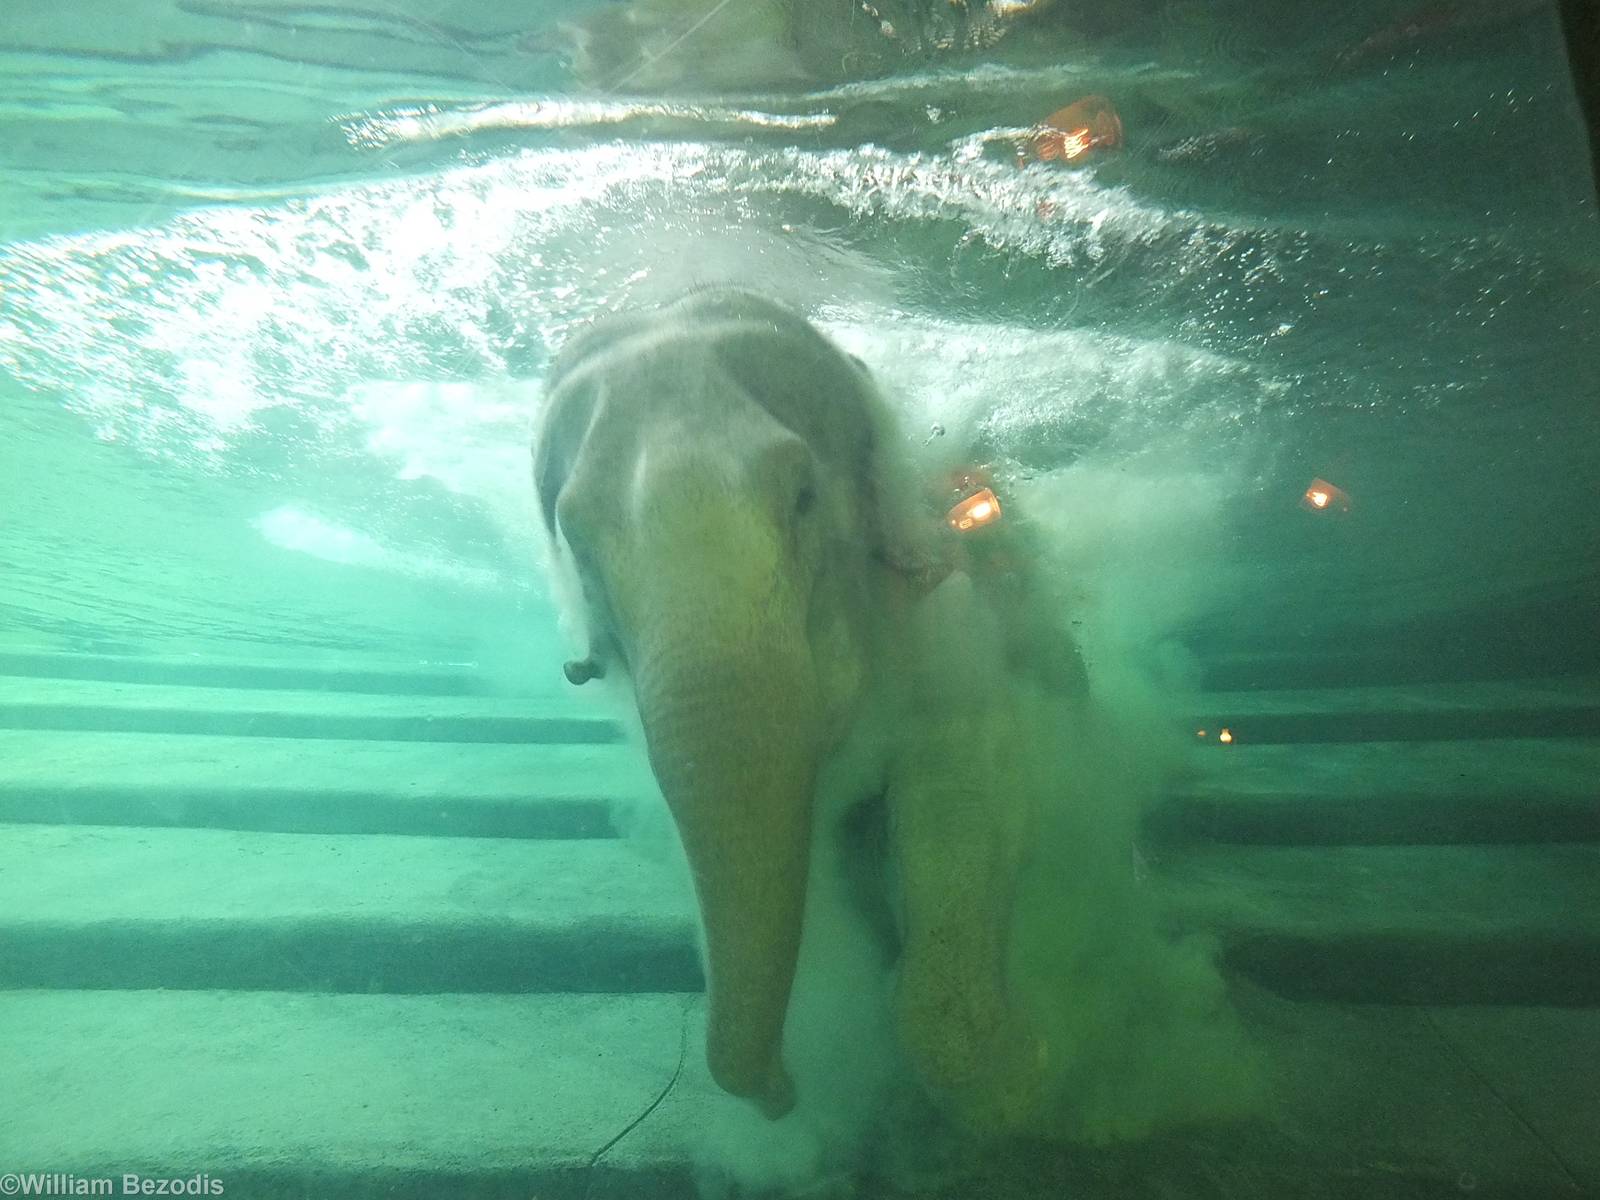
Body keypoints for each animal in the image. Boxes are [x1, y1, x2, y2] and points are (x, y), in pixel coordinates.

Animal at [532, 288, 1089, 1131]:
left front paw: (1032, 1066)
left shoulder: (948, 621)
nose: (780, 1092)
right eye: (579, 545)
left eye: (802, 497)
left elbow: (967, 792)